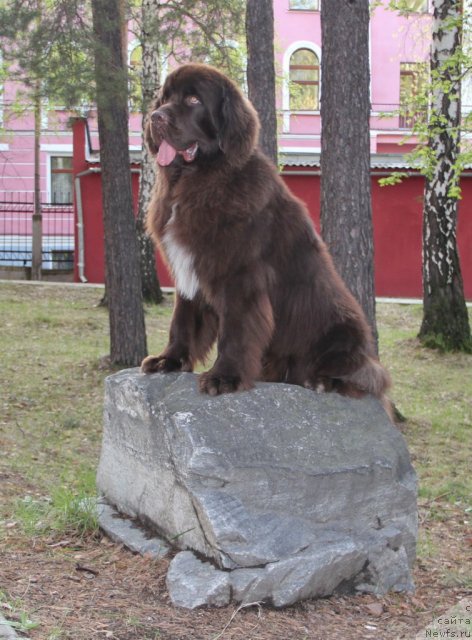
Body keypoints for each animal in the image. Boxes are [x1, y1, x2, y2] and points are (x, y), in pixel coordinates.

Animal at [141, 62, 390, 408]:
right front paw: (169, 360)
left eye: (193, 100)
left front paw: (224, 377)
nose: (155, 117)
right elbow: (183, 321)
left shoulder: (240, 276)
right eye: (164, 98)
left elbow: (235, 330)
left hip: (343, 329)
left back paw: (324, 381)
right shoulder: (188, 271)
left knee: (365, 377)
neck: (195, 180)